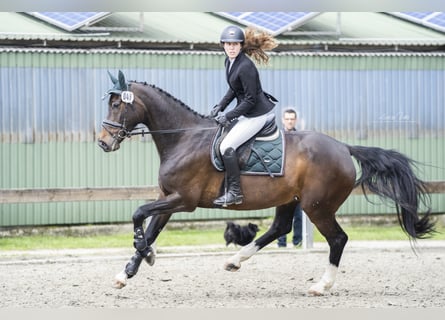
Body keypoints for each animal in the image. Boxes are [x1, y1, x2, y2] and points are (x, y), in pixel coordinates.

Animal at [98, 71, 434, 296]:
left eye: (118, 106)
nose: (103, 142)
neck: (183, 137)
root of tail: (343, 147)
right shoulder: (168, 197)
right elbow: (150, 228)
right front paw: (127, 271)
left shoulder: (184, 199)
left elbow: (139, 215)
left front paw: (144, 255)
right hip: (291, 199)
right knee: (280, 228)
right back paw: (235, 260)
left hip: (317, 206)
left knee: (337, 239)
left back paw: (321, 285)